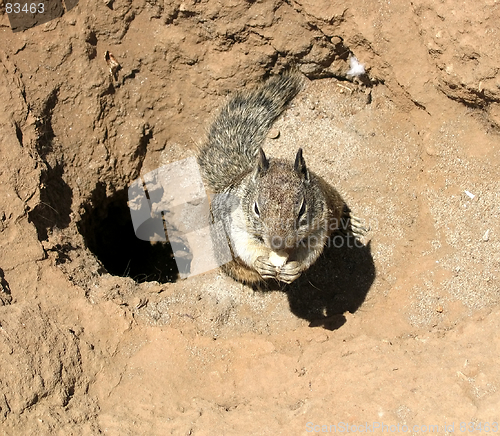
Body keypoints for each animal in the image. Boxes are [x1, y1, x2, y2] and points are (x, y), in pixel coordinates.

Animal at [197, 73, 358, 284]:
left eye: (302, 209)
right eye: (256, 208)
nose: (277, 243)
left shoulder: (320, 223)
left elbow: (311, 250)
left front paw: (295, 267)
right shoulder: (236, 223)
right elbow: (245, 246)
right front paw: (260, 263)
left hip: (330, 194)